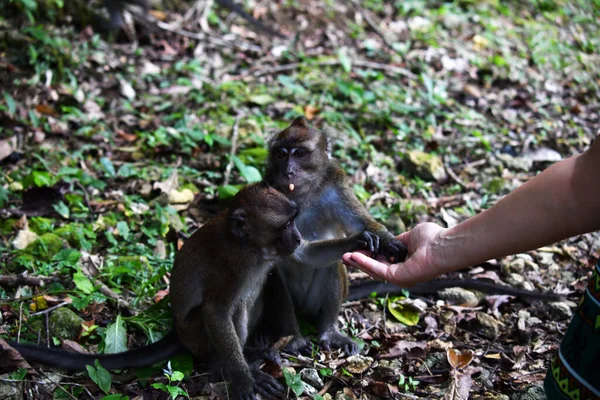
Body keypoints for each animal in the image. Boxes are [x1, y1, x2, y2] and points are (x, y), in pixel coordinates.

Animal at [4, 182, 302, 400]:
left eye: (293, 222)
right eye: (287, 225)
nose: (298, 238)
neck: (250, 248)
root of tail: (178, 332)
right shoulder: (231, 267)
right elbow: (216, 312)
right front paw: (242, 378)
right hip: (195, 333)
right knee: (230, 312)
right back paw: (226, 368)